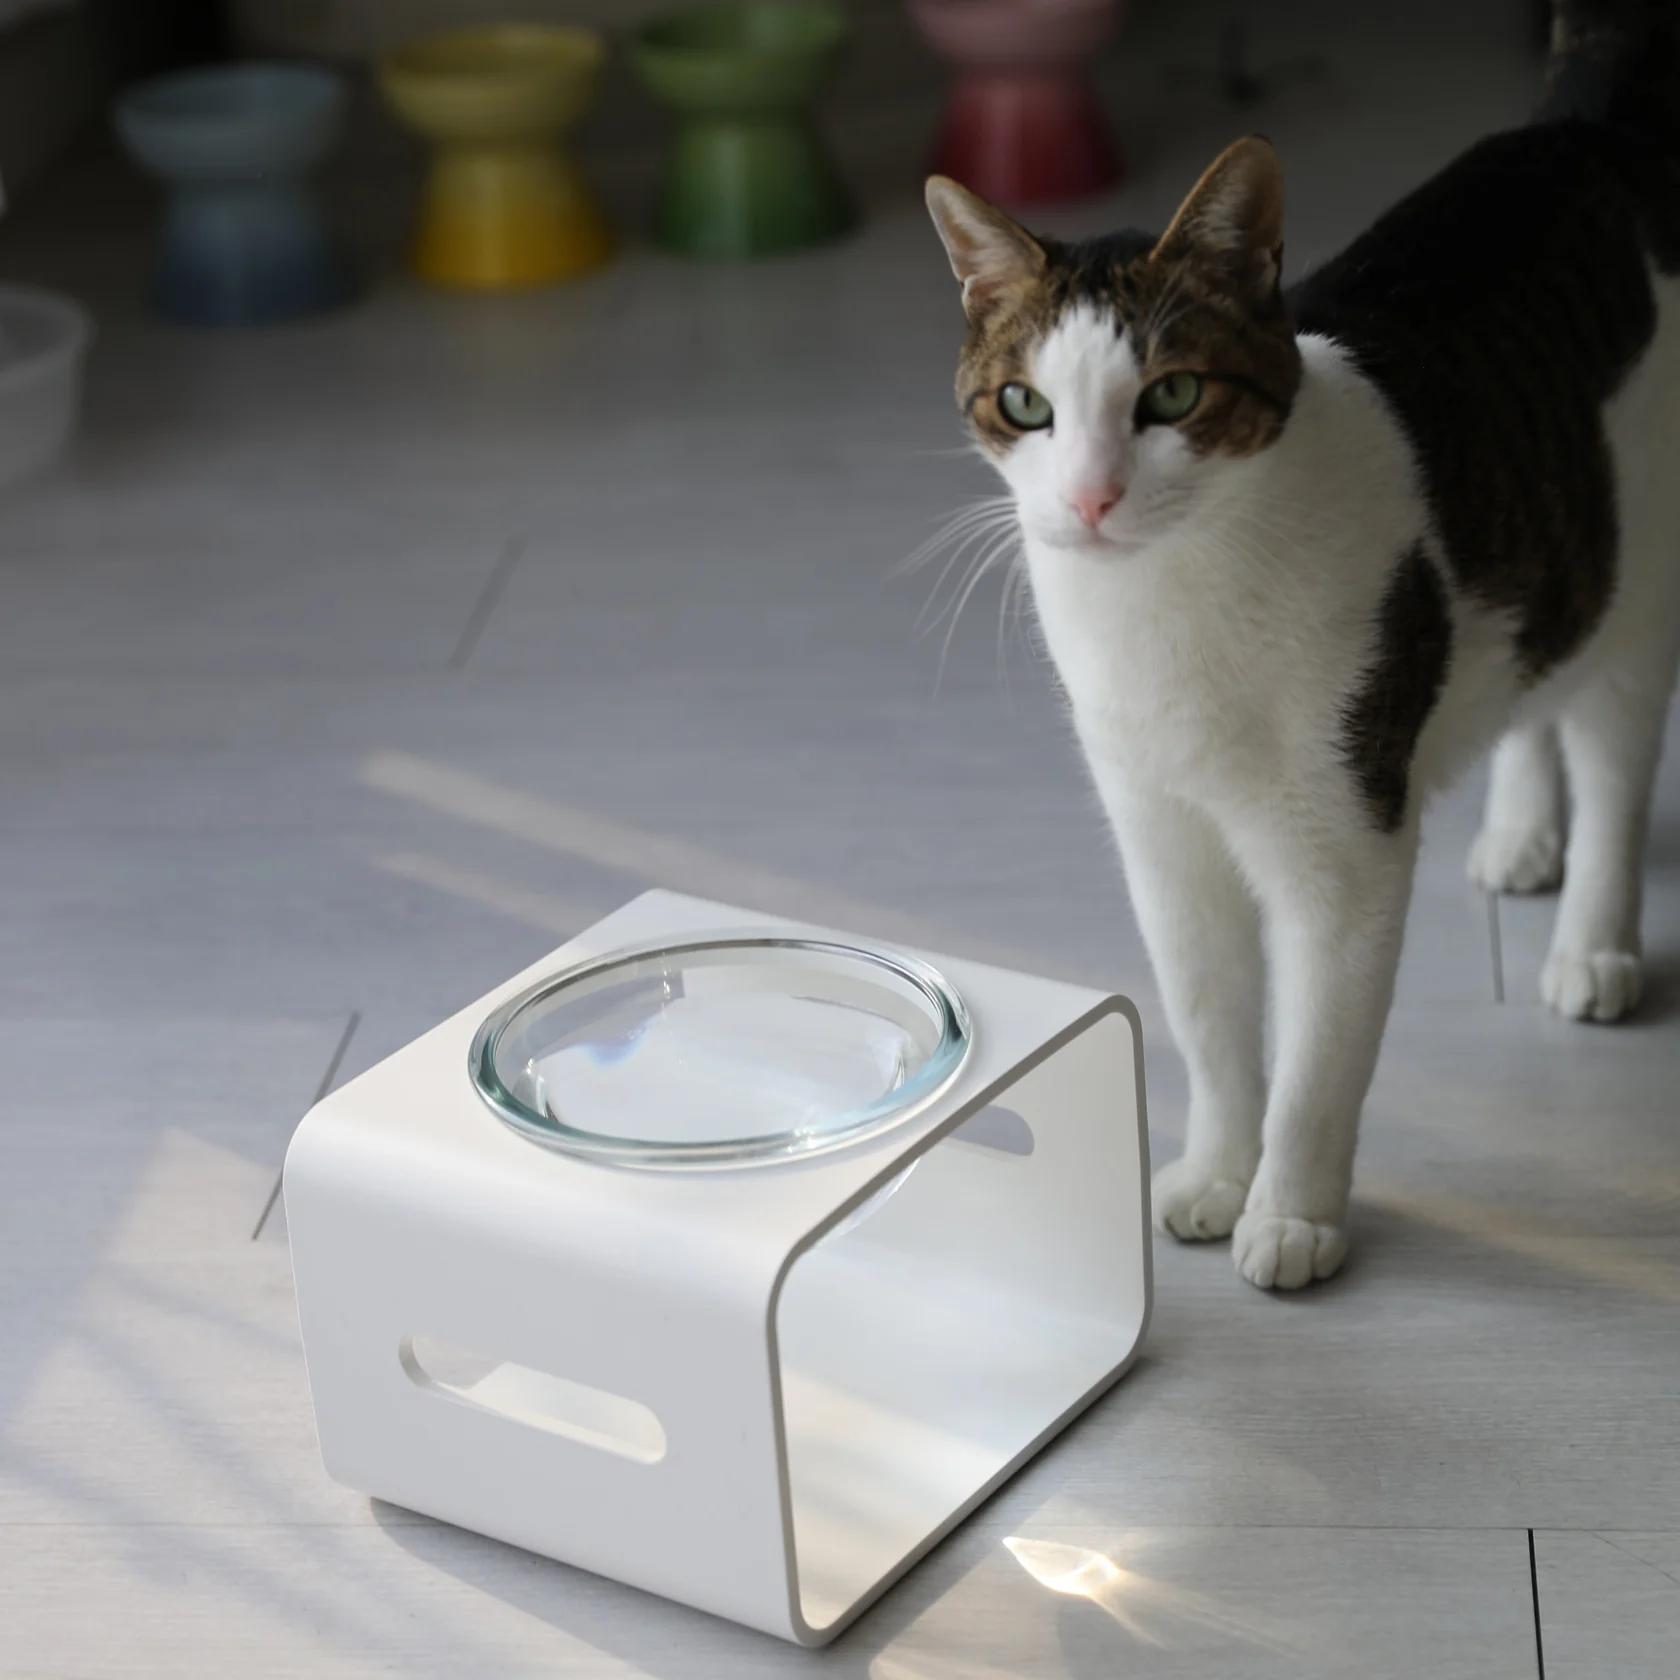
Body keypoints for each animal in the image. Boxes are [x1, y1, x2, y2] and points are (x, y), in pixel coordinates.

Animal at [926, 0, 1680, 1288]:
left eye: (1171, 396)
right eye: (1026, 406)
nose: (1089, 498)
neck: (1170, 609)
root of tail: (1577, 131)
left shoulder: (1345, 844)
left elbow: (1322, 1053)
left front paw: (1290, 1216)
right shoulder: (1160, 833)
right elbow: (1210, 1021)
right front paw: (1216, 1174)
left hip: (1640, 573)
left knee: (1614, 757)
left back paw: (1593, 941)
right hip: (1548, 551)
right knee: (1533, 669)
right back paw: (1522, 833)